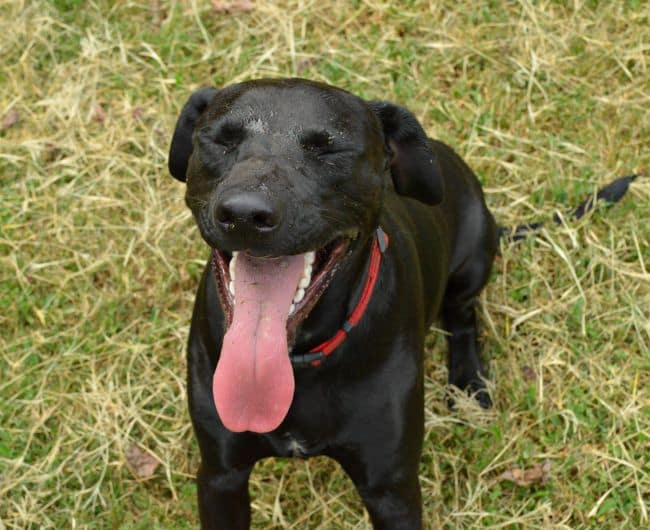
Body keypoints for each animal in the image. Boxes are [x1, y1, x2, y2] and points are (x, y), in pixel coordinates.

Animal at [167, 78, 635, 529]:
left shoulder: (391, 488)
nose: (246, 214)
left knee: (463, 318)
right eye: (220, 139)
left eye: (330, 148)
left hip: (472, 261)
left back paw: (468, 381)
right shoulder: (221, 476)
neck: (298, 357)